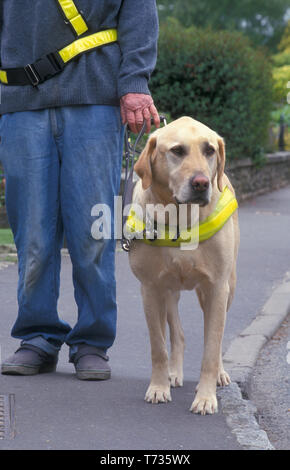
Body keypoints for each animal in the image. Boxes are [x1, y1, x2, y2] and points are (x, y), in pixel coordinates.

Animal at [128, 116, 239, 414]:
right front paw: (158, 387)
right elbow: (158, 346)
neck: (180, 219)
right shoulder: (150, 288)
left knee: (217, 337)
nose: (201, 183)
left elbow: (212, 347)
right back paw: (173, 373)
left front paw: (206, 397)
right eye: (177, 151)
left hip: (227, 288)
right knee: (177, 333)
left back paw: (219, 375)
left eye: (209, 150)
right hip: (169, 292)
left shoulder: (216, 288)